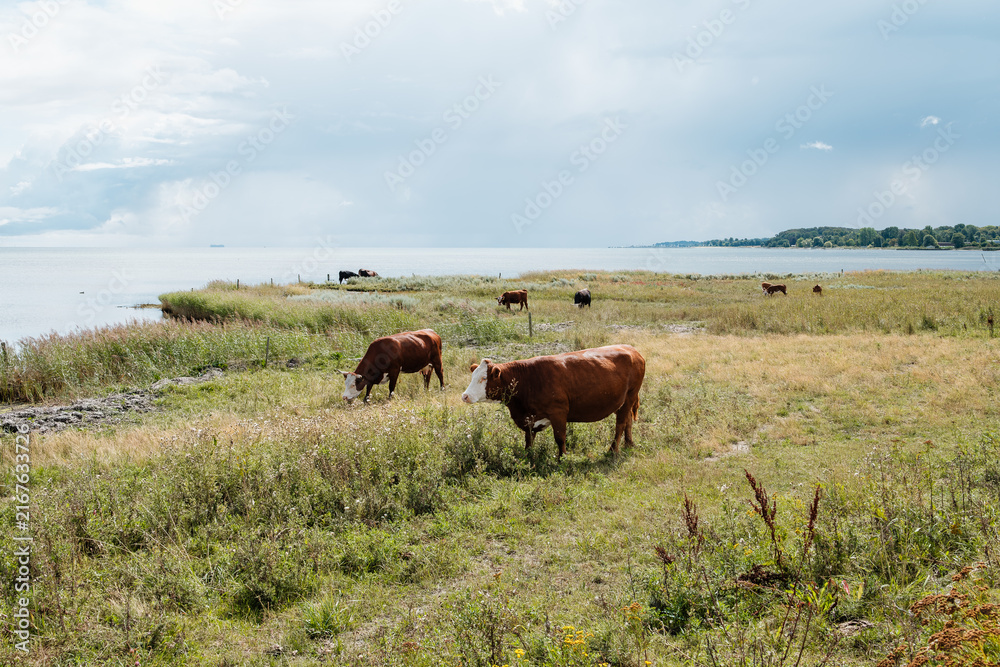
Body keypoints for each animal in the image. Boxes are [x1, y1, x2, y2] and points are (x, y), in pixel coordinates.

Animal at [461, 345, 645, 459]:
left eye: (483, 378)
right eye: (472, 376)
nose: (465, 396)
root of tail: (633, 350)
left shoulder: (558, 412)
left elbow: (560, 438)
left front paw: (562, 458)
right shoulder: (529, 418)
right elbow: (529, 439)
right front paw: (528, 456)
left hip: (630, 395)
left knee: (620, 424)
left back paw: (613, 450)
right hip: (625, 400)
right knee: (628, 421)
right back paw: (629, 444)